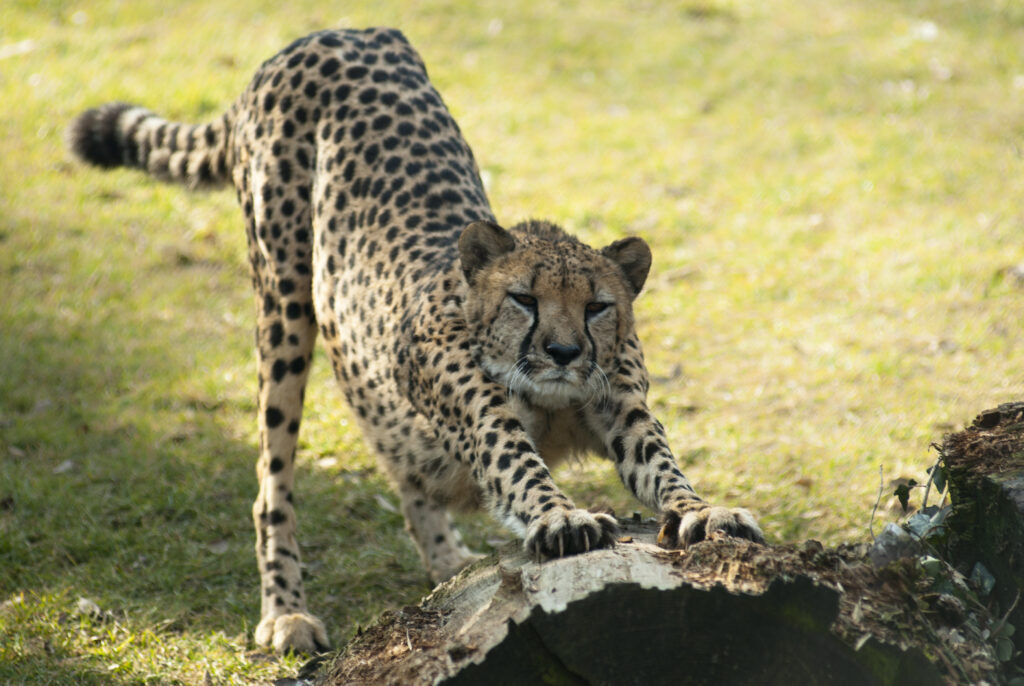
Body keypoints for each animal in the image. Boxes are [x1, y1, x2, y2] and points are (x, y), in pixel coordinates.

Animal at [67, 27, 764, 654]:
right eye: (525, 299)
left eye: (596, 307)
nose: (564, 354)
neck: (551, 396)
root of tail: (325, 34)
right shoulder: (484, 415)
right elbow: (519, 463)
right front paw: (562, 516)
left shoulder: (621, 407)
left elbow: (661, 464)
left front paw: (706, 511)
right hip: (282, 312)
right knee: (272, 483)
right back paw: (287, 614)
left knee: (398, 460)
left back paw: (447, 561)